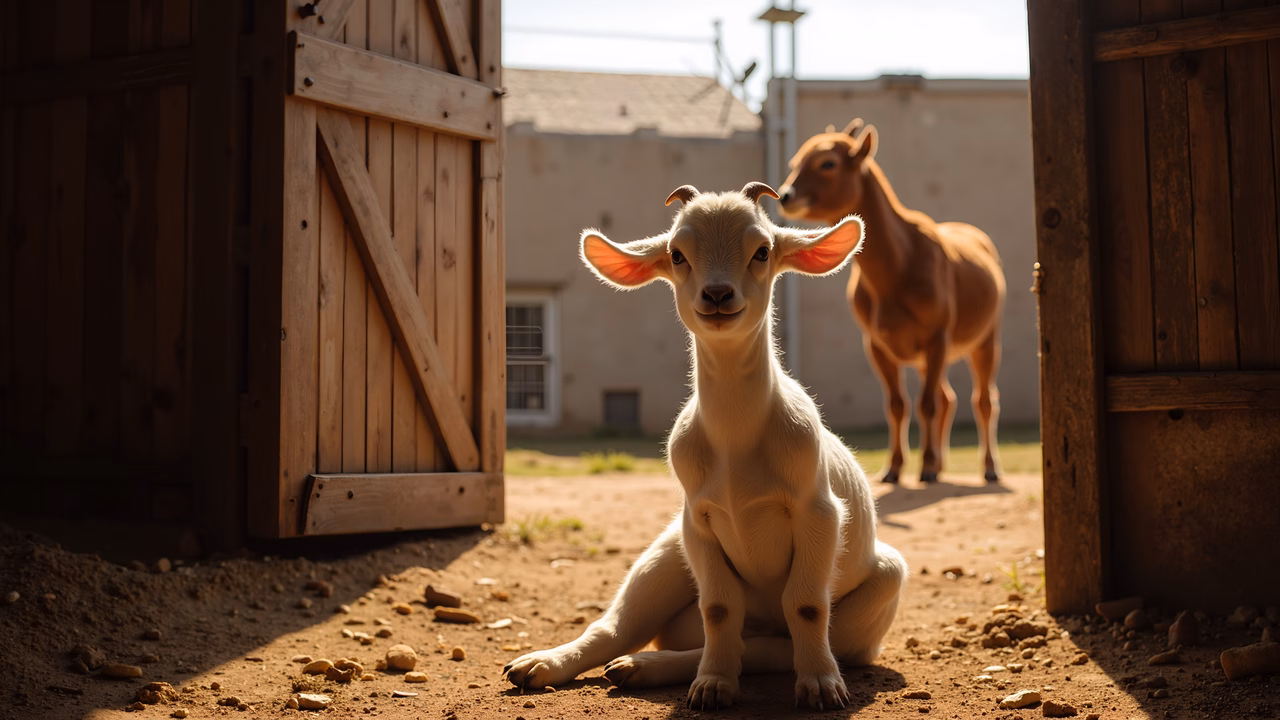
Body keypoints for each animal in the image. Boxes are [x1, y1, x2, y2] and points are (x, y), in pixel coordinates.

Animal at [503, 182, 908, 711]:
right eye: (677, 254)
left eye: (762, 251)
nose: (717, 295)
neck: (736, 442)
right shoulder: (697, 521)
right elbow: (718, 608)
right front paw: (713, 684)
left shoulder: (818, 513)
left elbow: (804, 605)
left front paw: (820, 685)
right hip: (666, 555)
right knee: (621, 628)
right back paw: (549, 664)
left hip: (877, 597)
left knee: (773, 644)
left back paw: (644, 665)